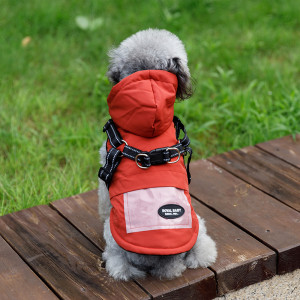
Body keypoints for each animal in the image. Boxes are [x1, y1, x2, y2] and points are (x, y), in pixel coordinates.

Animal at [98, 29, 216, 280]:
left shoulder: (104, 172)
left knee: (118, 263)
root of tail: (166, 262)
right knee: (202, 251)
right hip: (196, 223)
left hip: (113, 235)